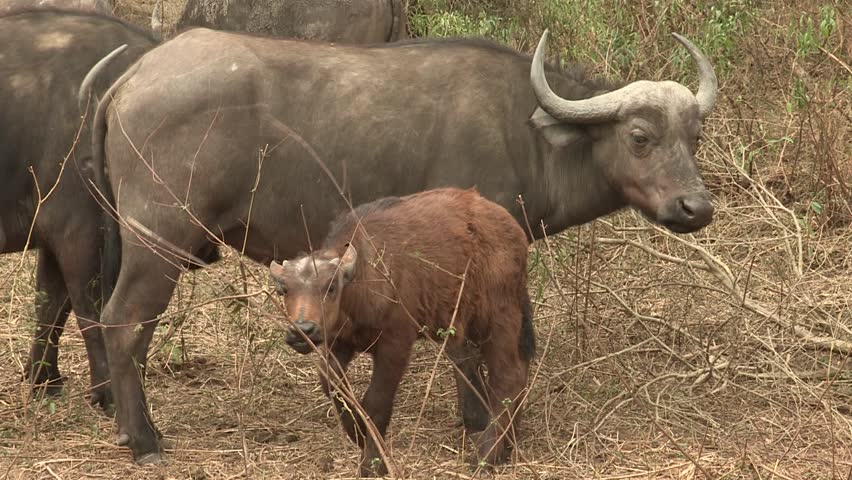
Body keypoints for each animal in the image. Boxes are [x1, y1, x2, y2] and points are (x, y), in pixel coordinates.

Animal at [0, 9, 157, 410]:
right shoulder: (76, 229)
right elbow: (90, 306)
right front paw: (108, 392)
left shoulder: (52, 232)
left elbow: (51, 303)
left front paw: (43, 378)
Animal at [271, 188, 535, 475]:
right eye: (284, 289)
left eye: (331, 287)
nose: (302, 330)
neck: (366, 274)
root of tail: (512, 228)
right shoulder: (340, 341)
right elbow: (332, 384)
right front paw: (357, 431)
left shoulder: (395, 344)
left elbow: (376, 401)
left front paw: (372, 461)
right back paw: (507, 444)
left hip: (499, 319)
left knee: (509, 377)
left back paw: (487, 454)